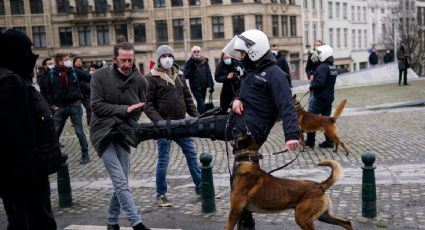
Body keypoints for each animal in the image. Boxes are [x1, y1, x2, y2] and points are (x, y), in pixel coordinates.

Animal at [224, 128, 352, 229]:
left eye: (240, 133)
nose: (233, 128)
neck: (247, 160)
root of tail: (320, 186)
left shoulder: (235, 211)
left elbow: (227, 227)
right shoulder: (241, 213)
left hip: (302, 218)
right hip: (324, 216)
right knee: (347, 222)